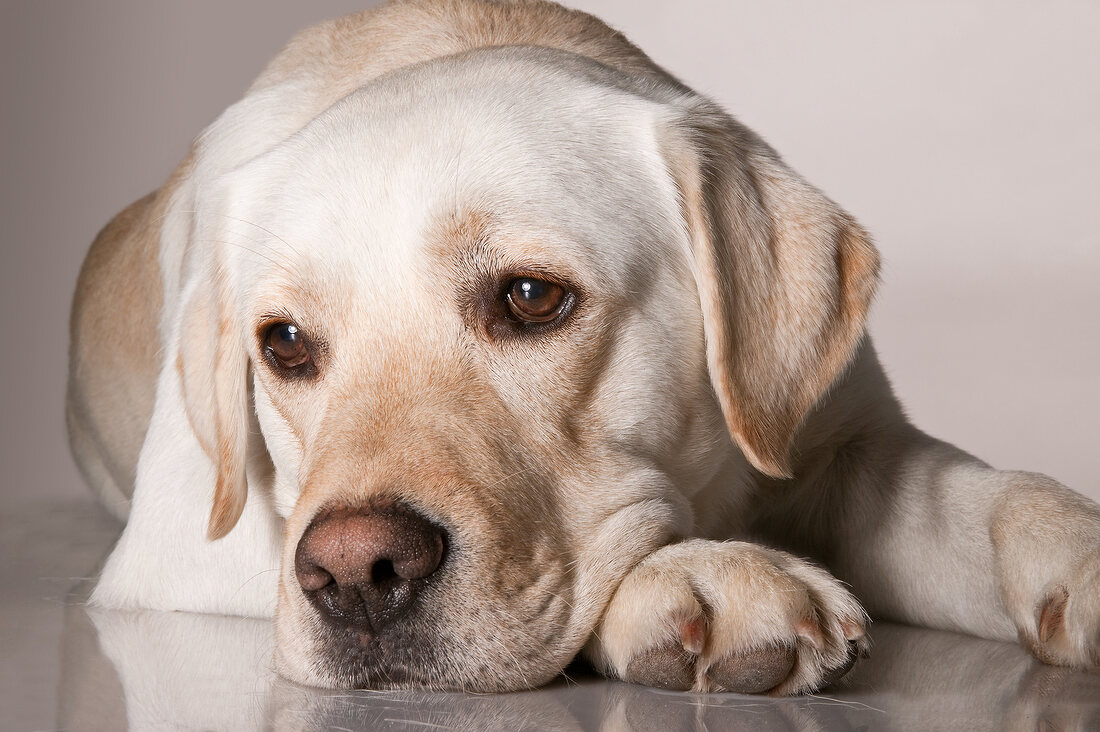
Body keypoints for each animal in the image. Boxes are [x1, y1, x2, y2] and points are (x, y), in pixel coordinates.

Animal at [66, 0, 1091, 695]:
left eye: (530, 298)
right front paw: (695, 577)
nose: (357, 573)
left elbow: (981, 495)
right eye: (283, 345)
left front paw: (1076, 552)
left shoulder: (839, 436)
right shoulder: (176, 561)